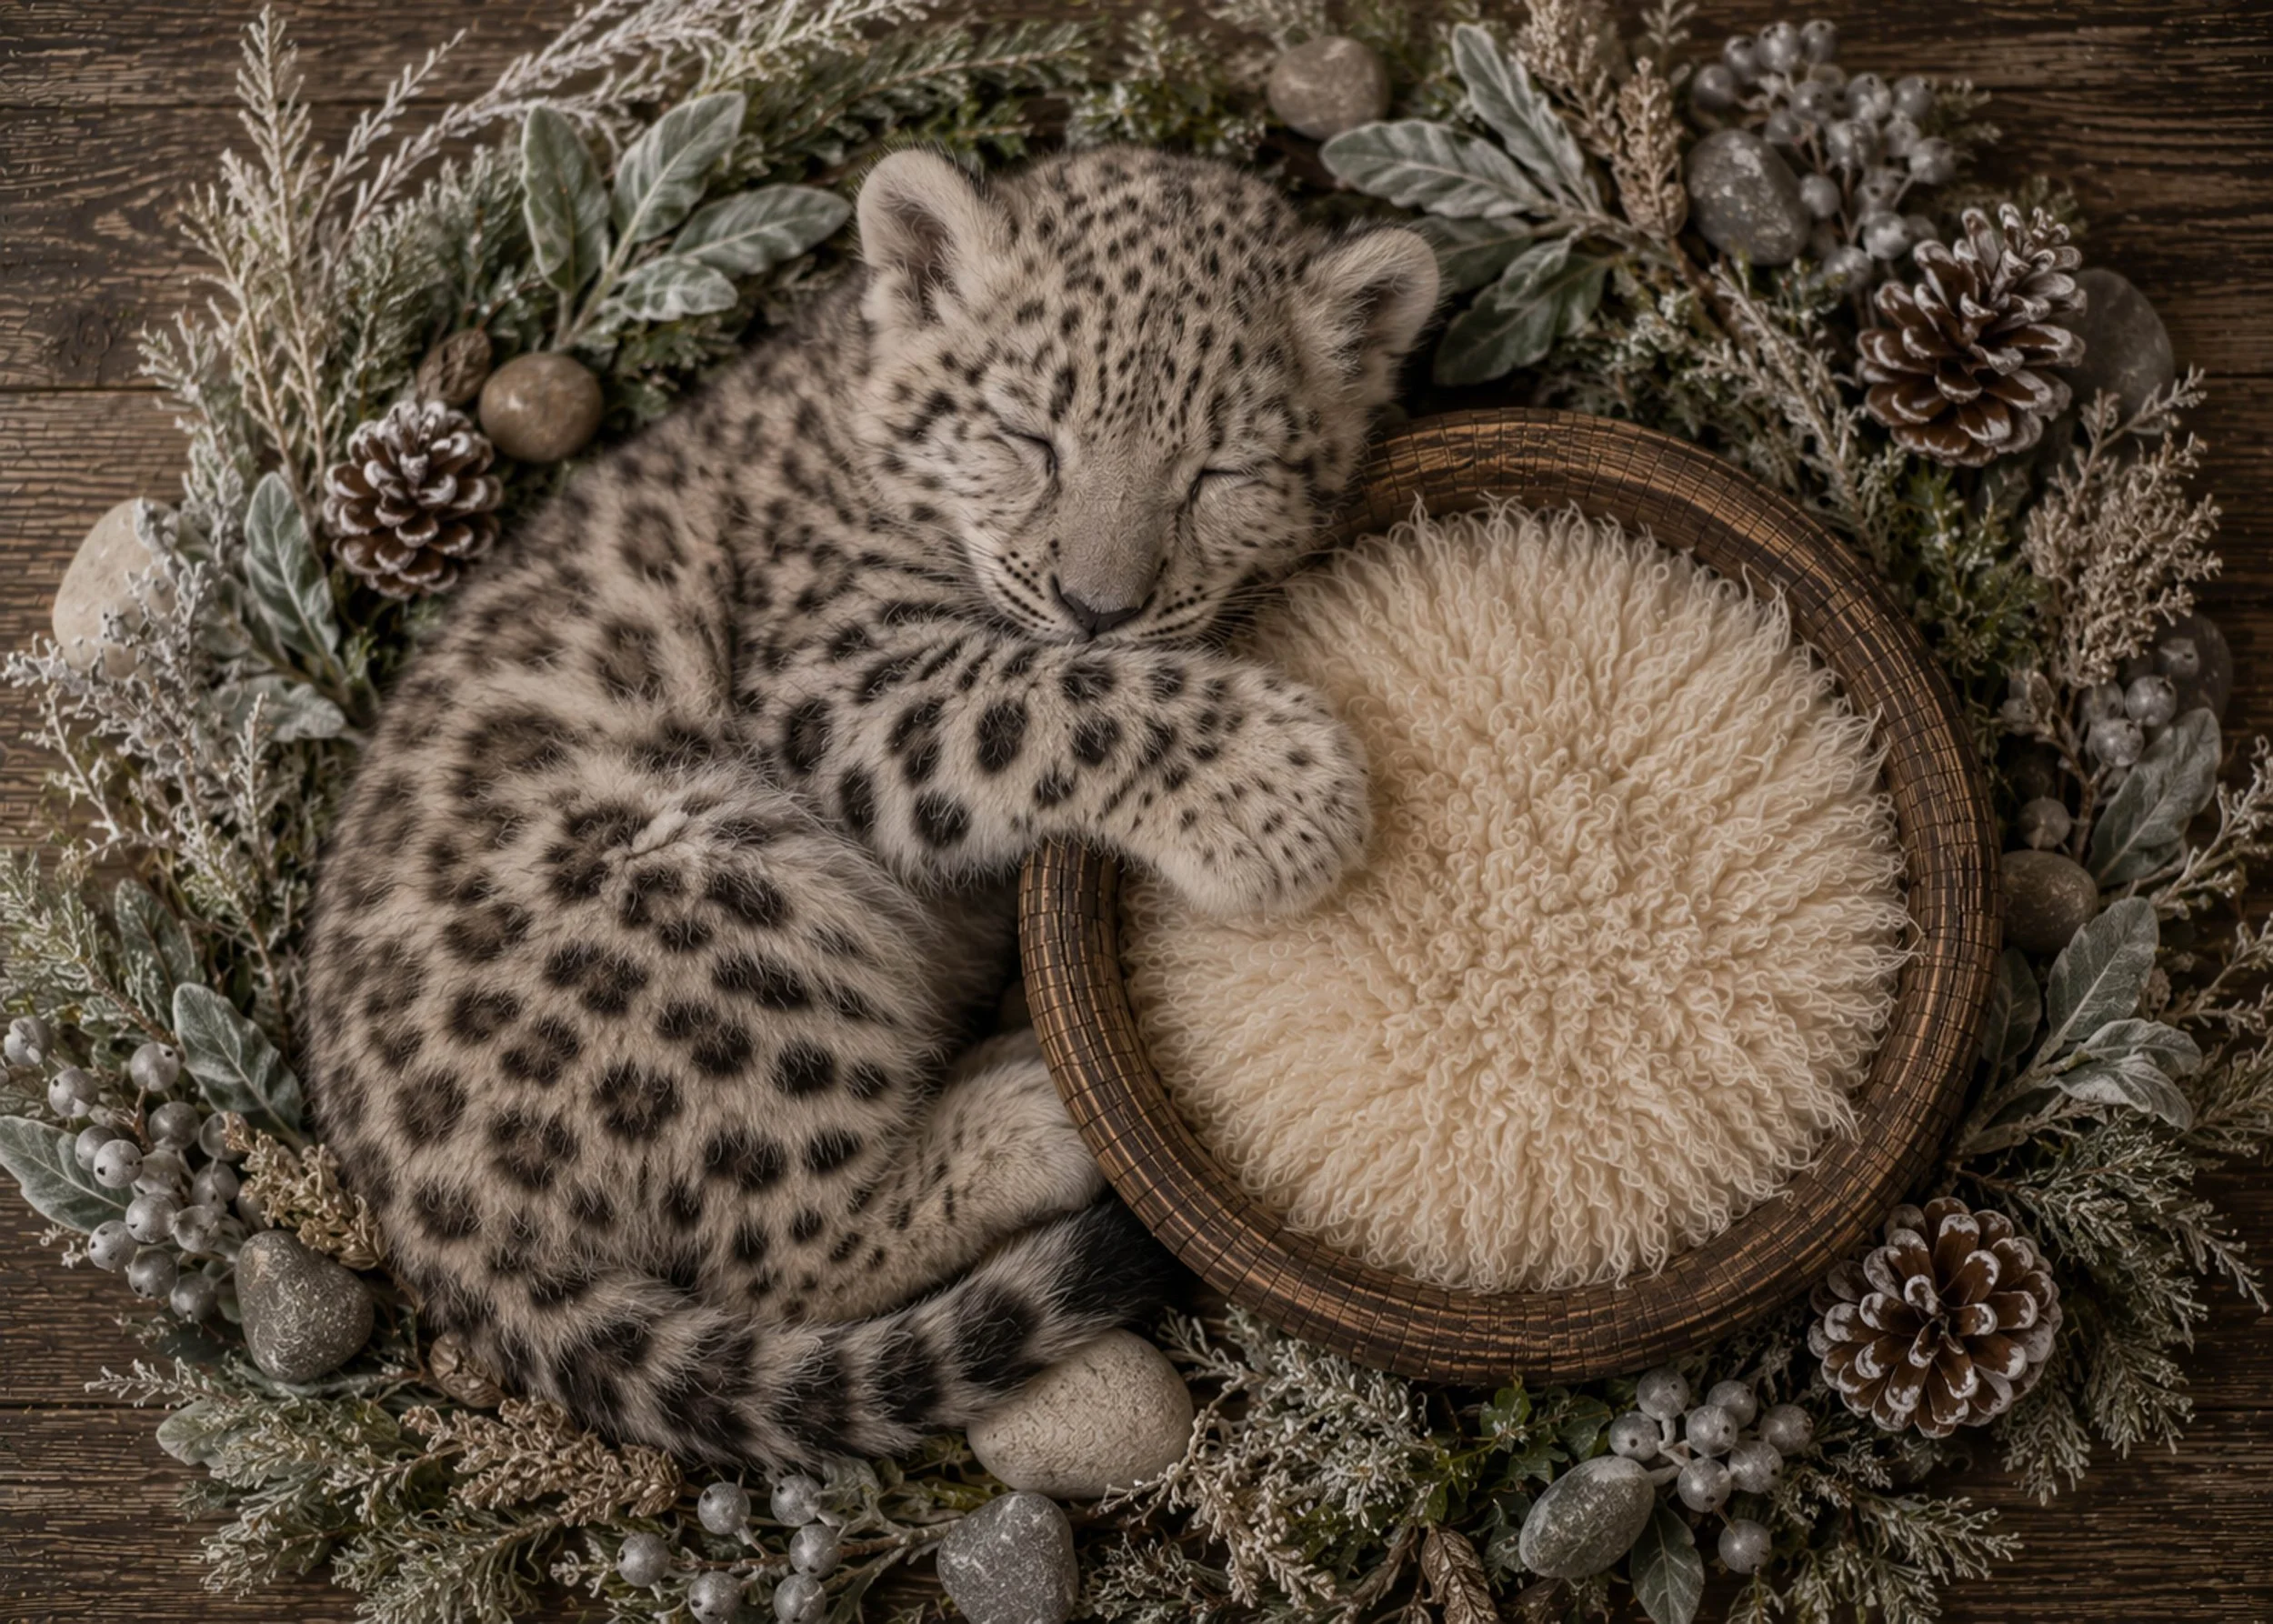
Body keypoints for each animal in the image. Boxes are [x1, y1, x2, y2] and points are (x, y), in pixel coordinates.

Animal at [302, 144, 1440, 1468]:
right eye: (1027, 435)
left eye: (1221, 474)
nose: (1098, 603)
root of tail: (428, 1223)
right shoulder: (842, 678)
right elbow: (1050, 696)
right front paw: (1287, 791)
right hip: (724, 892)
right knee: (780, 1250)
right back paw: (1033, 1115)